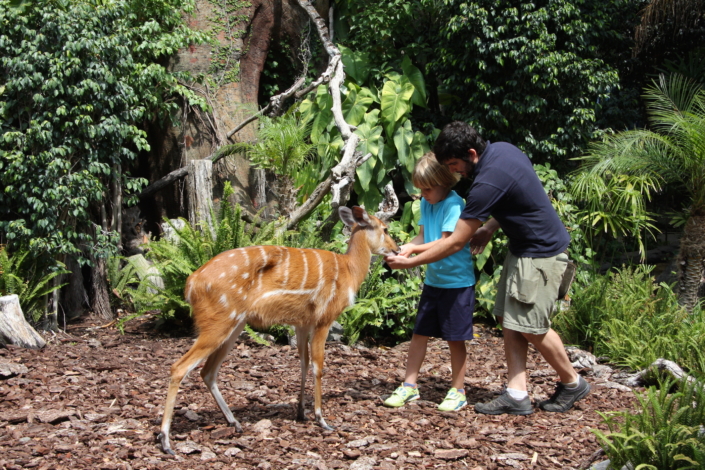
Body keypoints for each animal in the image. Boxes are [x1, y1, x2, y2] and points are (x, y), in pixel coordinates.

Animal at [158, 206, 400, 455]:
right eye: (385, 229)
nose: (397, 249)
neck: (349, 270)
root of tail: (191, 284)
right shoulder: (324, 318)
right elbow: (318, 366)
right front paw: (322, 419)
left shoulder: (302, 322)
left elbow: (303, 362)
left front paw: (301, 412)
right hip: (219, 321)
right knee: (179, 367)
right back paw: (166, 441)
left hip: (233, 324)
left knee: (207, 372)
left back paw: (234, 423)